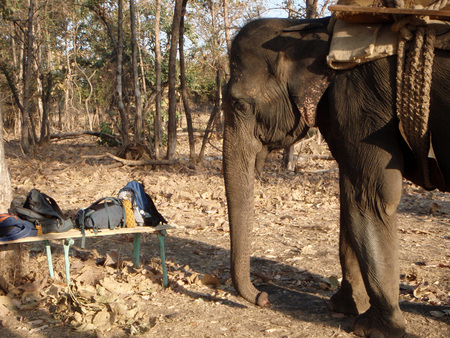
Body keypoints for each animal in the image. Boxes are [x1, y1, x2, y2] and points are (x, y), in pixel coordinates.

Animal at [222, 15, 450, 336]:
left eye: (240, 105)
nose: (263, 297)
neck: (308, 30)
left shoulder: (361, 103)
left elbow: (370, 198)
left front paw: (373, 328)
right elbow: (349, 196)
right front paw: (345, 306)